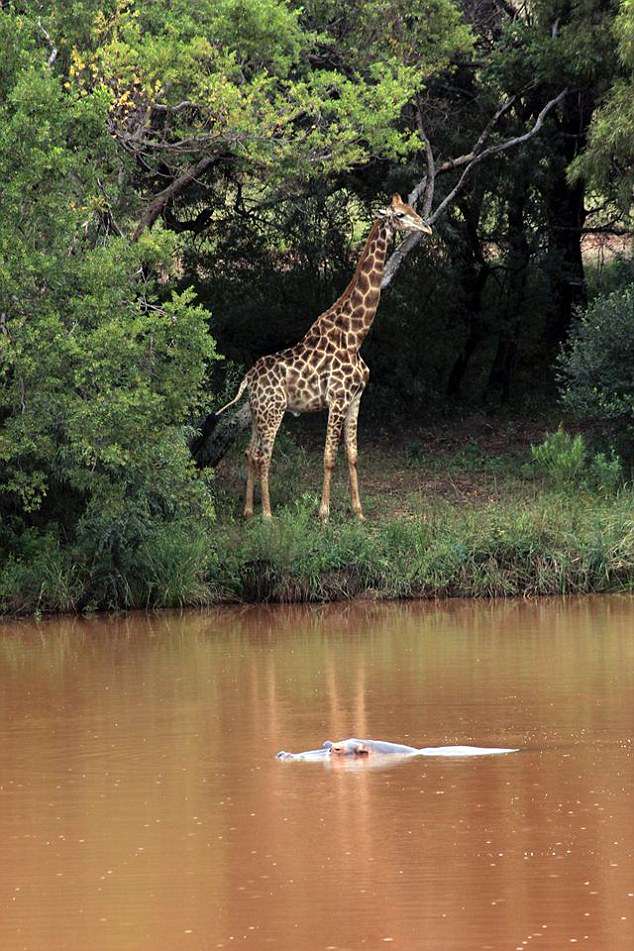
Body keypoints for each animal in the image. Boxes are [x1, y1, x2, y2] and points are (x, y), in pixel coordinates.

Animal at [215, 194, 432, 520]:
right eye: (400, 215)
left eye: (413, 210)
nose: (427, 228)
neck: (355, 335)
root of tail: (248, 379)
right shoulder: (337, 399)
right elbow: (329, 457)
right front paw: (324, 513)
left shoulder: (356, 399)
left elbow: (353, 455)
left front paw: (358, 512)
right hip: (274, 410)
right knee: (263, 455)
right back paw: (267, 515)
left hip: (256, 412)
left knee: (249, 452)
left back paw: (249, 510)